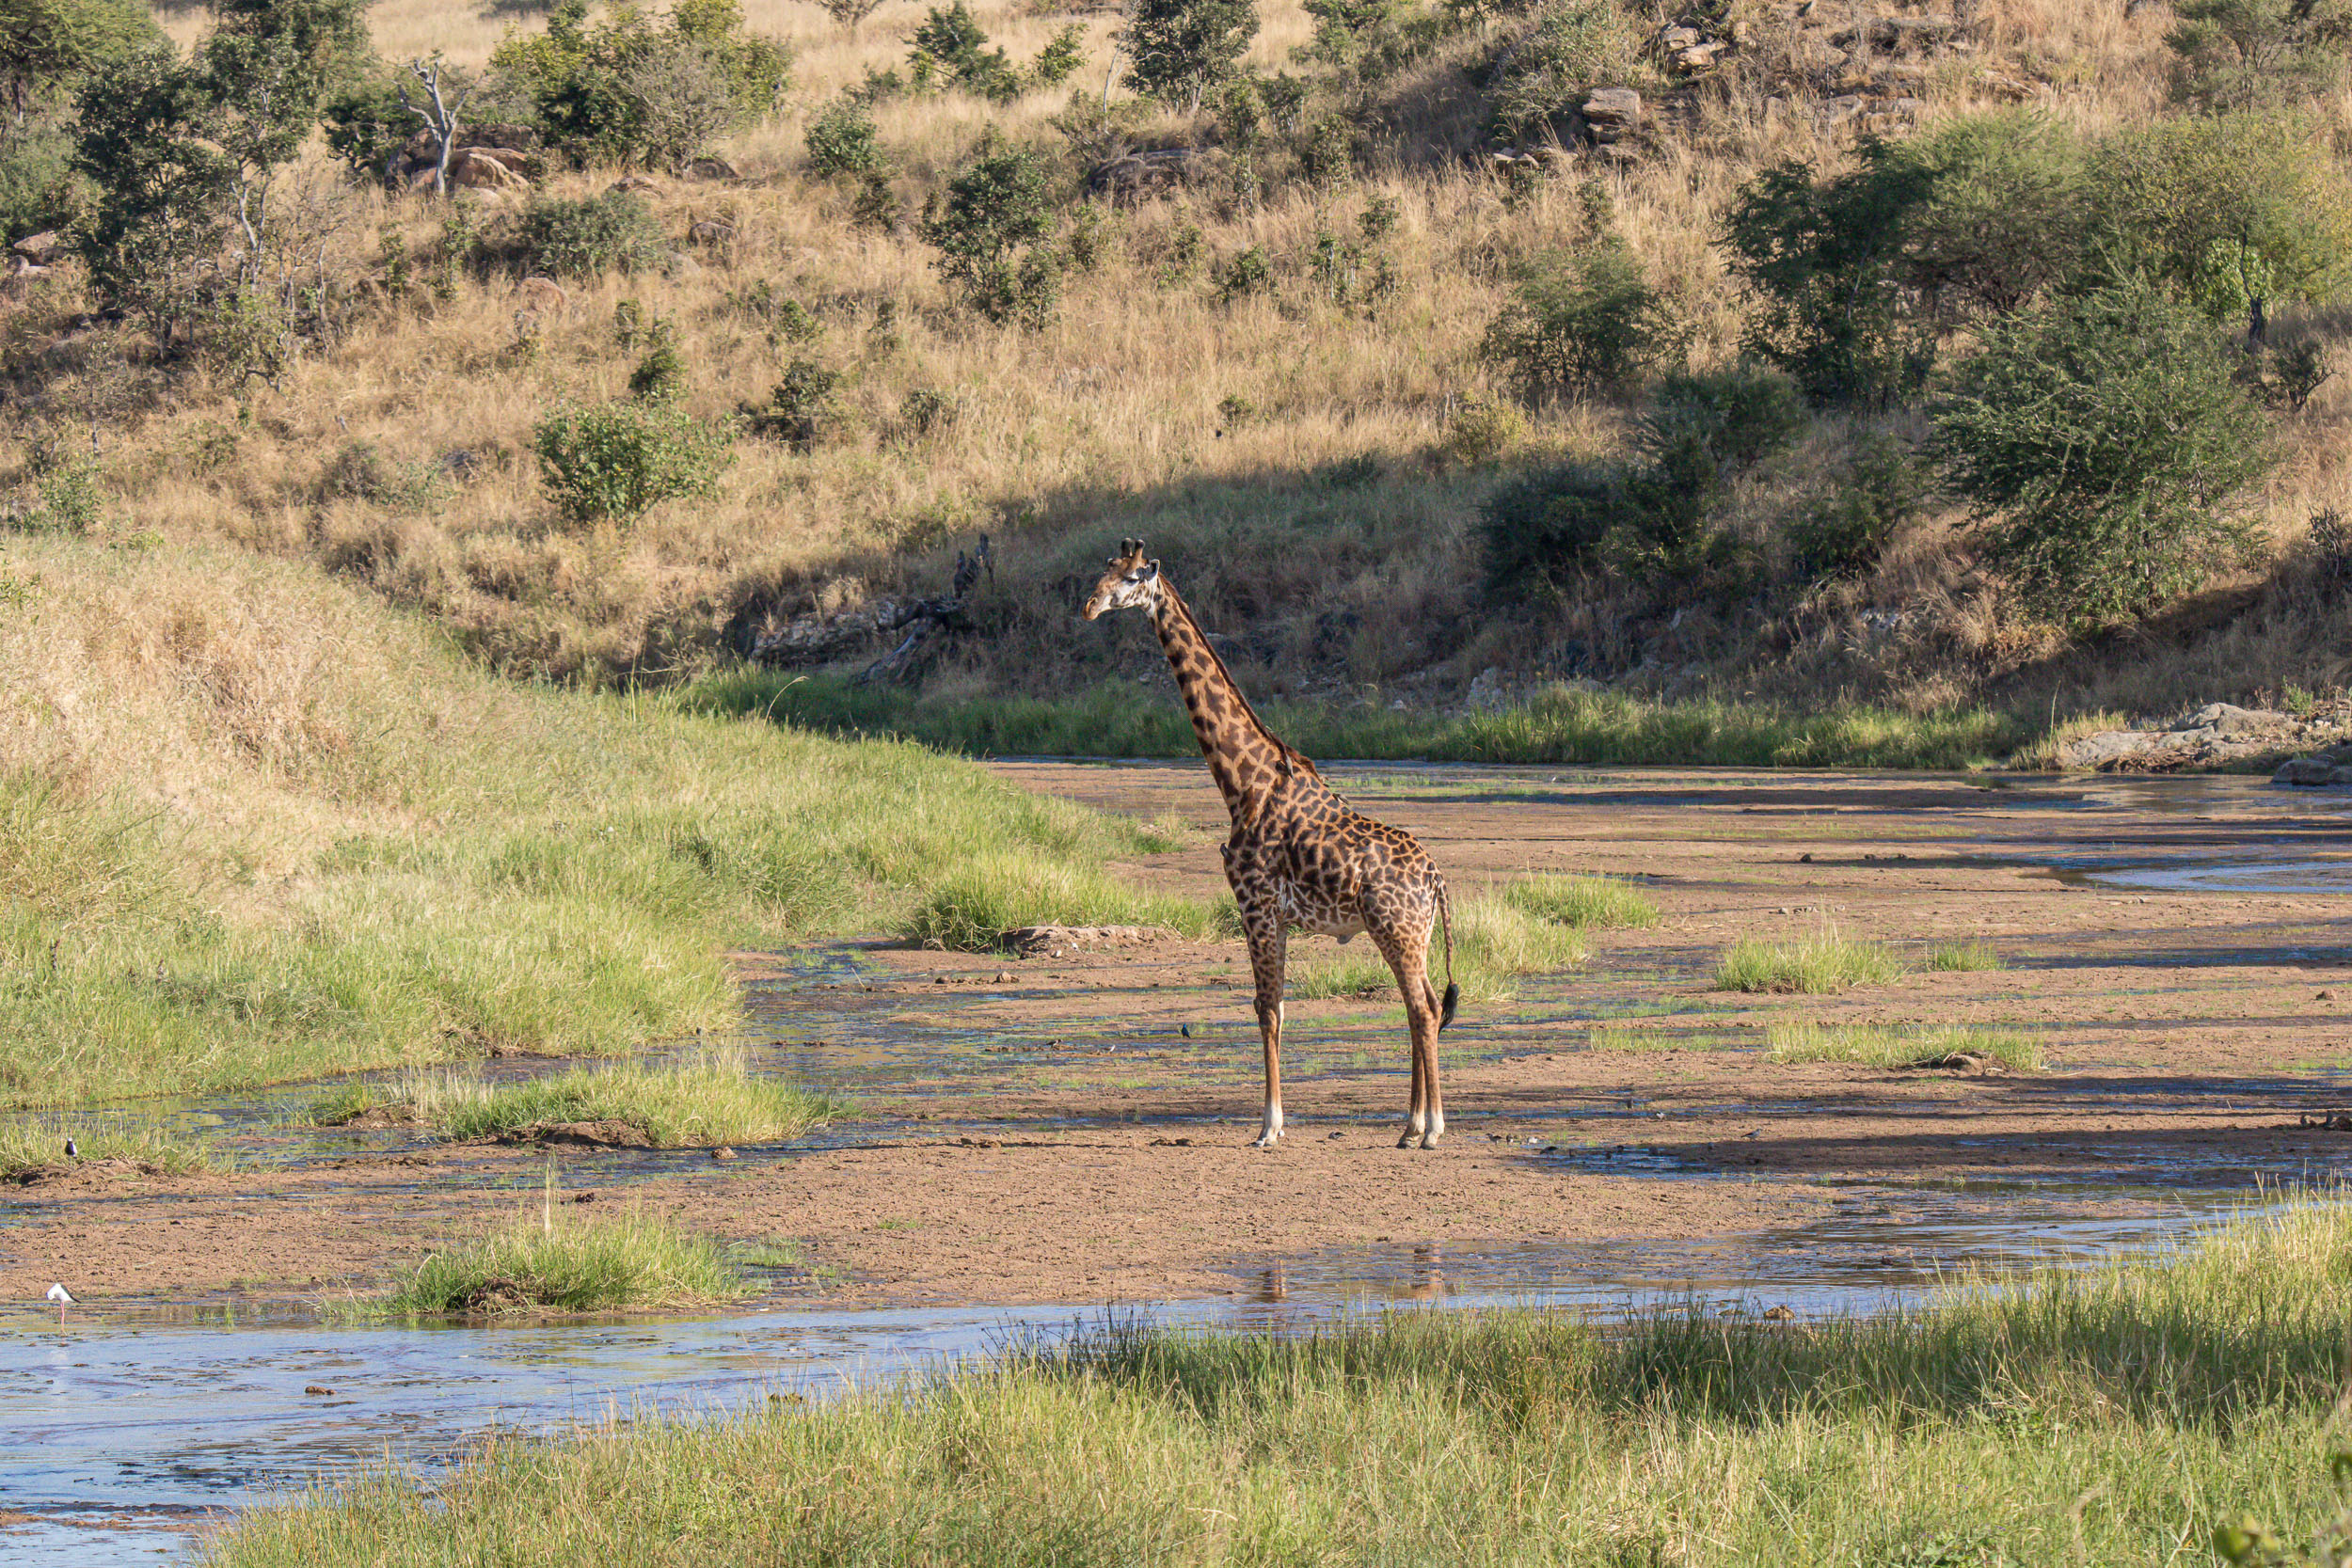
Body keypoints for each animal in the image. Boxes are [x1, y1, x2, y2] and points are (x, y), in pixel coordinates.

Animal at [1083, 538, 1460, 1150]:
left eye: (1135, 577)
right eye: (1104, 571)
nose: (1090, 606)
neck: (1243, 783)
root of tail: (1436, 880)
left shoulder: (1254, 904)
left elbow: (1266, 1009)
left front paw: (1268, 1126)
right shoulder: (1274, 914)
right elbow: (1277, 1006)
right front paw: (1274, 1122)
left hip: (1396, 929)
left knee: (1423, 1010)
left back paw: (1430, 1130)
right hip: (1413, 933)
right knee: (1420, 1005)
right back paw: (1408, 1127)